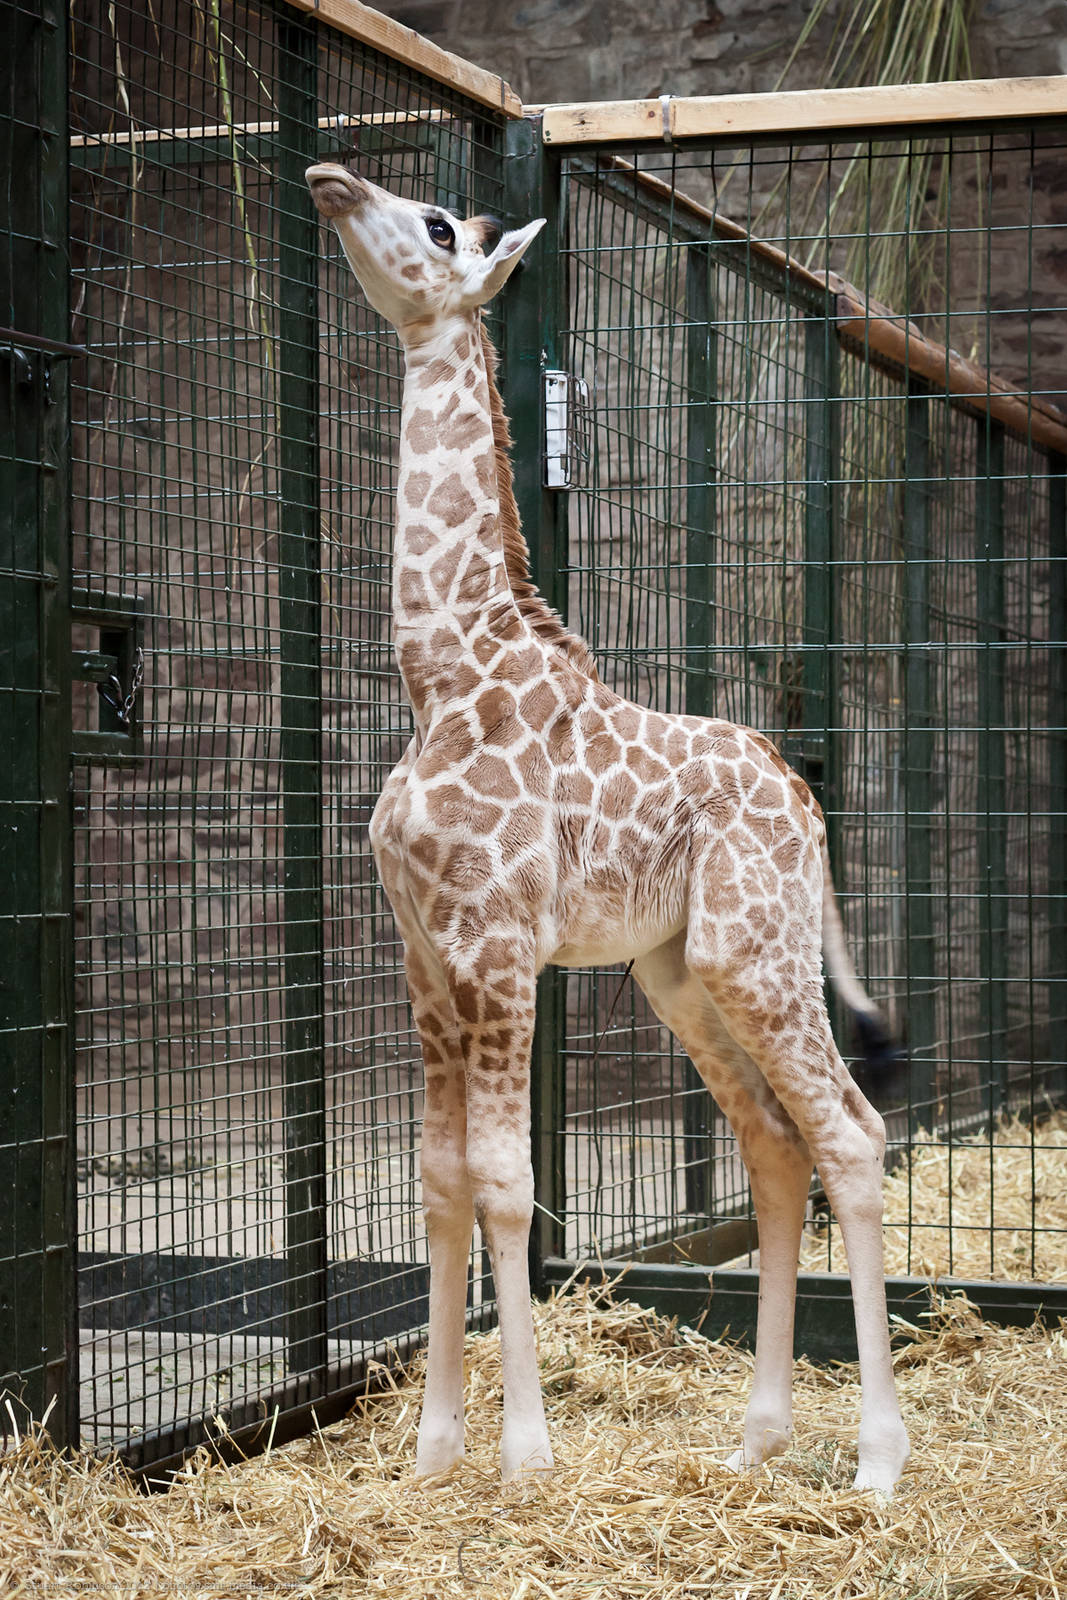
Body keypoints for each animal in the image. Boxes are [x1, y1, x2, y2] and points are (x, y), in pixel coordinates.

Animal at [306, 161, 912, 1495]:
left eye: (435, 224)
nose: (328, 176)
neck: (440, 678)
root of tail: (806, 802)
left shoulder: (494, 945)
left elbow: (505, 1182)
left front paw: (524, 1456)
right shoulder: (422, 957)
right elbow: (438, 1182)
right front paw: (432, 1454)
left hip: (755, 949)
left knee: (850, 1133)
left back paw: (876, 1463)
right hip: (677, 972)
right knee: (774, 1147)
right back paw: (752, 1441)